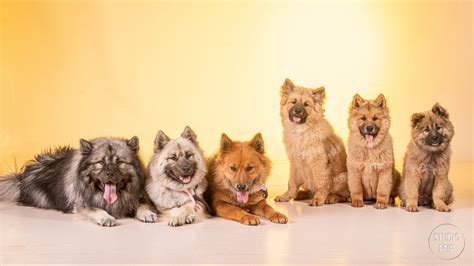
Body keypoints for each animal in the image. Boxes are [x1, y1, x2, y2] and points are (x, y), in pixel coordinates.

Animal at [0, 137, 159, 227]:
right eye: (101, 162)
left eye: (119, 162)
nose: (110, 173)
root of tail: (21, 177)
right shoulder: (82, 204)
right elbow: (95, 209)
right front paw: (106, 217)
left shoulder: (134, 198)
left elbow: (142, 204)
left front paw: (147, 213)